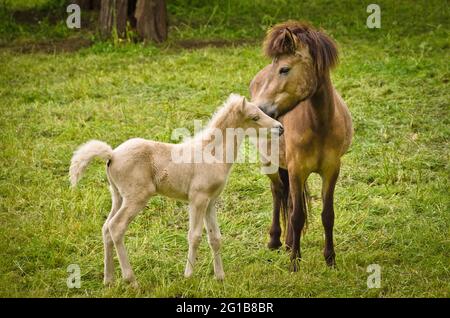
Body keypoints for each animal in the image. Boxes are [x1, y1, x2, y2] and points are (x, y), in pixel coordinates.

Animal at [69, 94, 282, 286]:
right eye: (255, 117)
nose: (280, 128)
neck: (212, 153)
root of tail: (112, 155)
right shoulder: (198, 199)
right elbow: (194, 236)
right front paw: (188, 275)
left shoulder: (211, 201)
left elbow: (215, 237)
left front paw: (220, 277)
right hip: (136, 197)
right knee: (116, 227)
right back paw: (131, 280)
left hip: (117, 196)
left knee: (106, 228)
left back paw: (109, 279)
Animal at [250, 20, 352, 270]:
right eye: (276, 67)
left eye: (284, 69)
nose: (260, 109)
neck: (320, 124)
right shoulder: (297, 170)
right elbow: (297, 217)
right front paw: (295, 263)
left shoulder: (331, 170)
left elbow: (327, 215)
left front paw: (330, 259)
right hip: (271, 162)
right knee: (278, 193)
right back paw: (275, 240)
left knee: (287, 199)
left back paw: (287, 243)